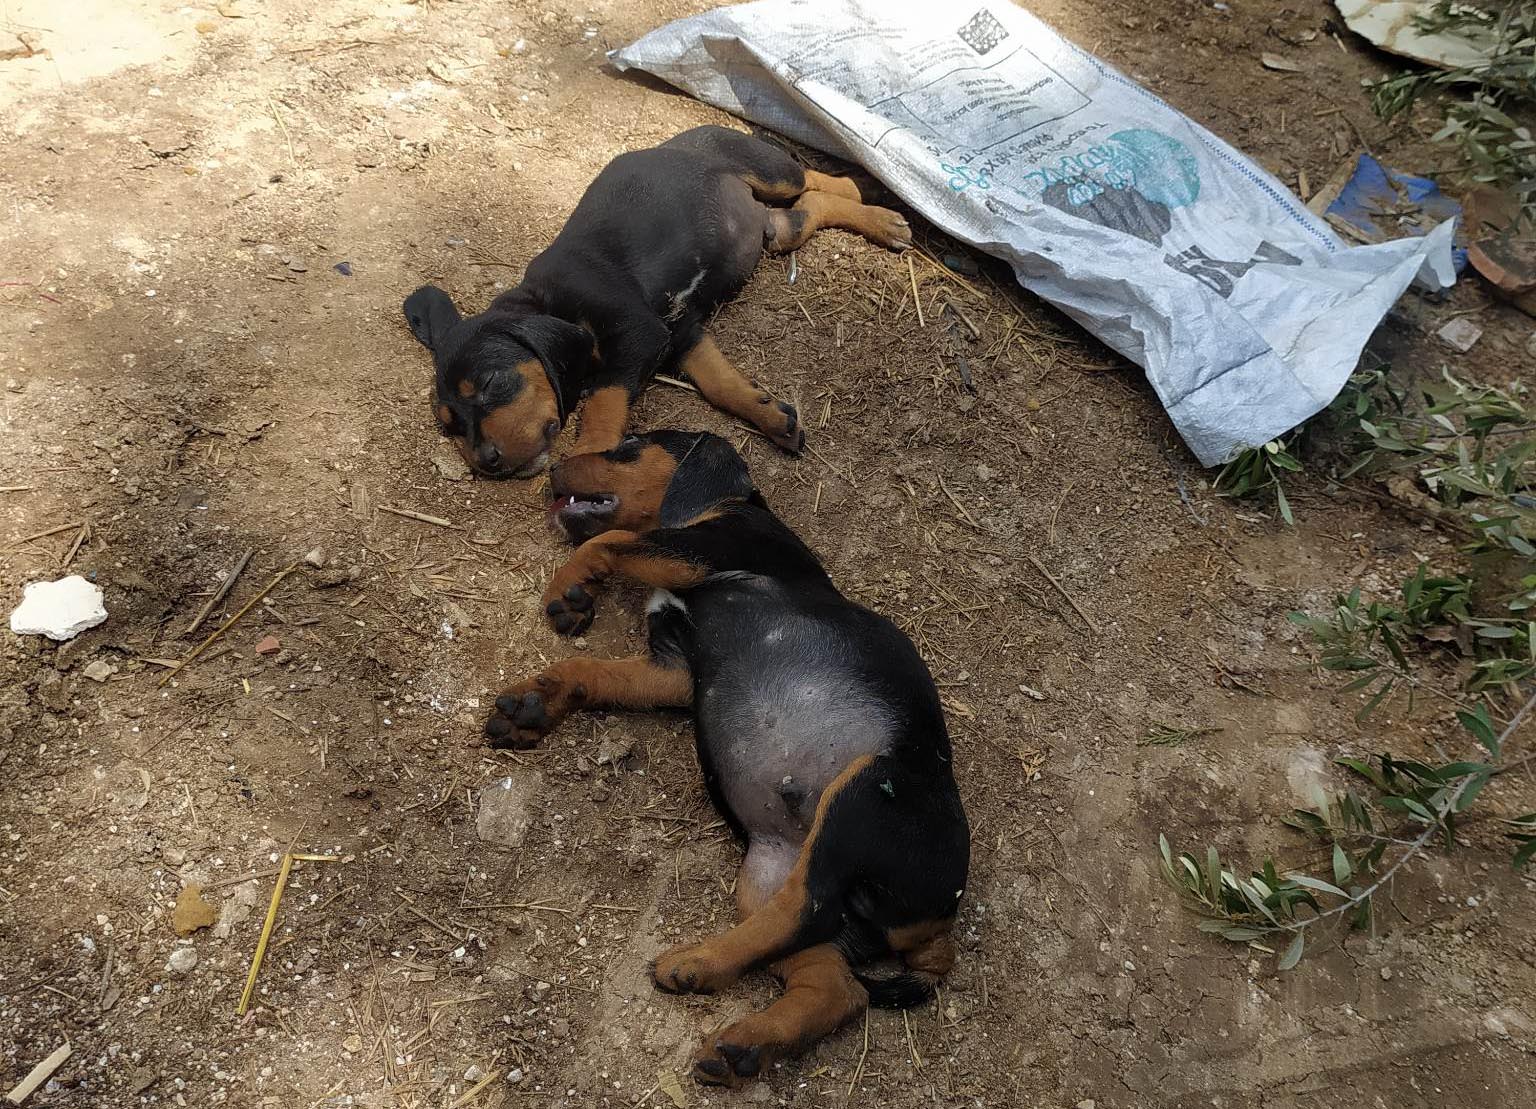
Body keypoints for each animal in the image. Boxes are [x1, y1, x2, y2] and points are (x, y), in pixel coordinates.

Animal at [402, 126, 915, 479]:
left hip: (766, 168)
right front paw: (769, 414)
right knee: (804, 212)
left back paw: (872, 197)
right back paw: (878, 218)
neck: (548, 305)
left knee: (811, 176)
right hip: (771, 231)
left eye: (489, 383)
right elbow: (719, 383)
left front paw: (589, 458)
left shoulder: (638, 332)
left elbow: (605, 399)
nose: (485, 461)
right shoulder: (679, 331)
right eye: (450, 425)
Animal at [485, 430, 970, 1081]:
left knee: (808, 910)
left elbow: (609, 540)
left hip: (865, 794)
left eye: (629, 446)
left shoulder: (703, 550)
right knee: (834, 982)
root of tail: (939, 928)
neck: (728, 505)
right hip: (769, 873)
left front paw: (569, 589)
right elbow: (592, 670)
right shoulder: (672, 669)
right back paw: (745, 1043)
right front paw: (535, 702)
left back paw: (694, 963)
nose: (552, 467)